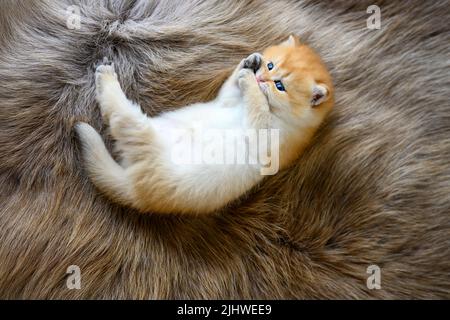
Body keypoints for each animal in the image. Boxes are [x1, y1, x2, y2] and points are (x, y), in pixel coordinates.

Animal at [74, 35, 334, 215]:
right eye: (270, 66)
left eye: (280, 85)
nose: (261, 77)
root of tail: (134, 190)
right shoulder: (226, 102)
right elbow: (230, 89)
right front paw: (248, 63)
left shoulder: (267, 139)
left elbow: (257, 105)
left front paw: (250, 82)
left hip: (141, 132)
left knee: (118, 113)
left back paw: (106, 77)